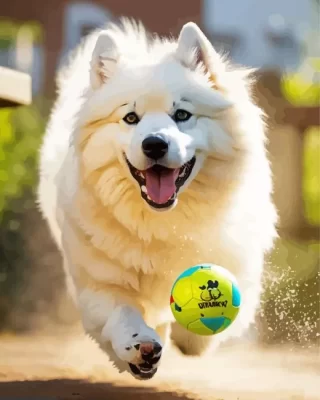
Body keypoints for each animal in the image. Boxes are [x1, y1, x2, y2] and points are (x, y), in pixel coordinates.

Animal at [37, 18, 278, 380]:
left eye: (182, 115)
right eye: (130, 118)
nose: (154, 144)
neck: (162, 220)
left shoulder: (239, 268)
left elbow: (212, 317)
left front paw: (191, 334)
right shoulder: (98, 283)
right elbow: (122, 315)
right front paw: (140, 348)